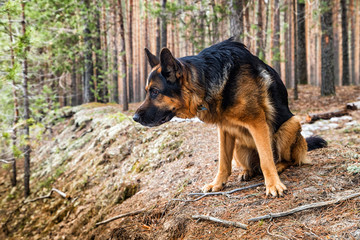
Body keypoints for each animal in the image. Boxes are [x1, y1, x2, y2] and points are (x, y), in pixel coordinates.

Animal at [133, 38, 326, 196]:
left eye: (155, 92)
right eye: (147, 91)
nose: (134, 118)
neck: (206, 79)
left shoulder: (258, 123)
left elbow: (266, 160)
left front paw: (273, 185)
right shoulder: (224, 128)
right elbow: (223, 163)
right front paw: (217, 184)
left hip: (291, 124)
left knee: (288, 160)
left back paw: (279, 166)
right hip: (239, 146)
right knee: (252, 165)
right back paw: (247, 172)